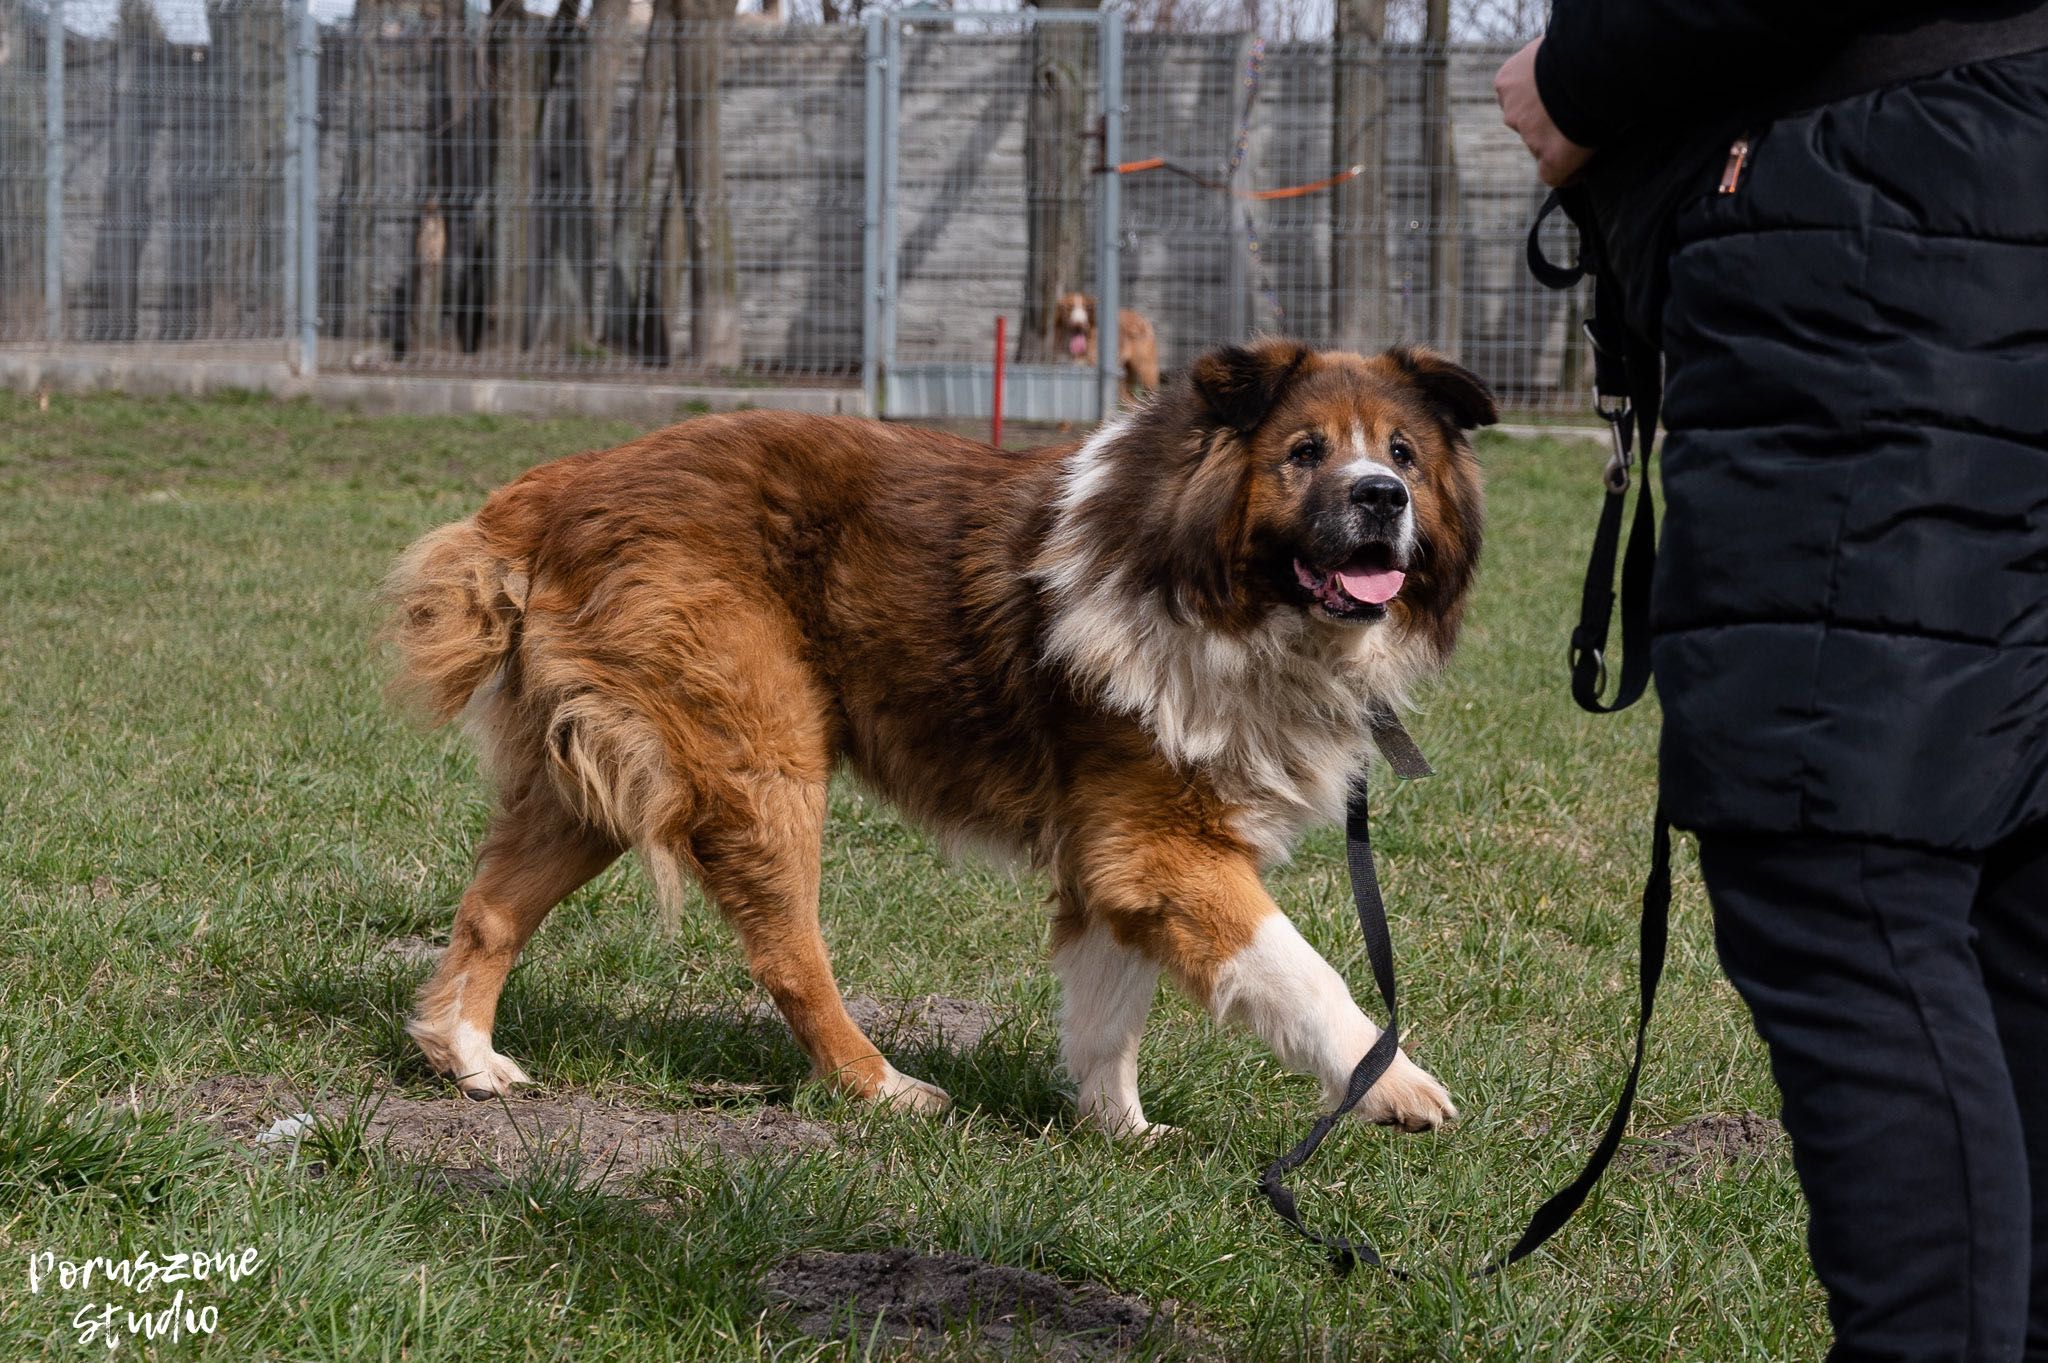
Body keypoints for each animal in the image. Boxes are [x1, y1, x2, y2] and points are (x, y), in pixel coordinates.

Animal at [385, 337, 1499, 1137]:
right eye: (1304, 452)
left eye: (1403, 454)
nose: (1381, 497)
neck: (1203, 578)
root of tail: (564, 484)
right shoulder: (1158, 846)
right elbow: (1302, 969)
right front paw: (1395, 1084)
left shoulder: (1118, 855)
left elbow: (1108, 1009)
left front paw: (1119, 1133)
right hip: (761, 761)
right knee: (788, 954)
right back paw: (881, 1087)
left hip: (603, 783)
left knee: (491, 908)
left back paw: (468, 1058)